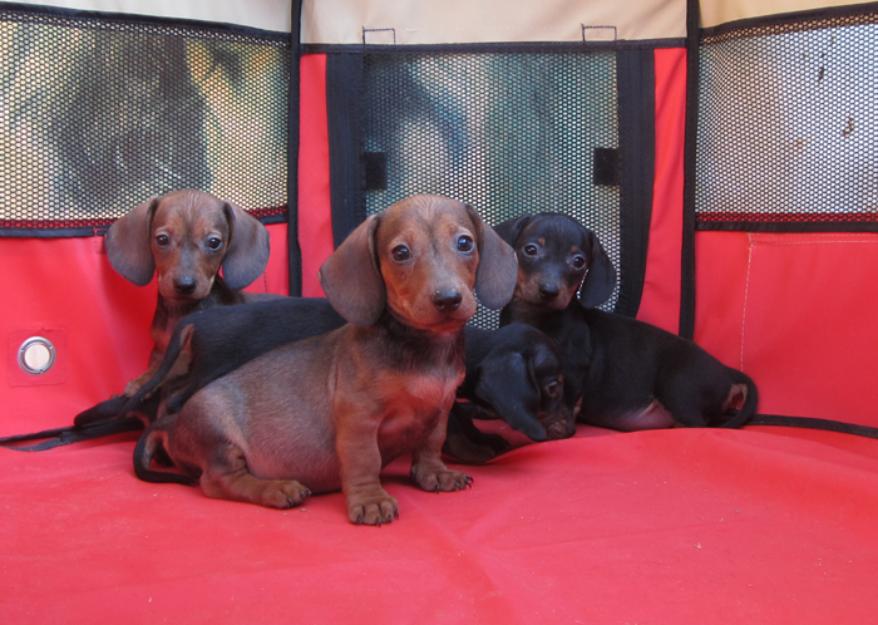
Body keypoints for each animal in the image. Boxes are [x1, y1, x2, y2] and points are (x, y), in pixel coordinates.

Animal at [74, 188, 270, 426]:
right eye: (162, 239)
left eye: (214, 242)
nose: (185, 285)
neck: (181, 311)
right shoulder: (159, 348)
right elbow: (157, 364)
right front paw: (144, 379)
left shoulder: (187, 357)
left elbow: (170, 368)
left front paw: (143, 383)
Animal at [134, 194, 520, 520]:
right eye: (400, 252)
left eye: (465, 243)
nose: (448, 299)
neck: (422, 350)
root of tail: (172, 423)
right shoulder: (359, 418)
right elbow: (365, 460)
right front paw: (370, 500)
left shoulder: (439, 410)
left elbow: (430, 445)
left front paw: (435, 474)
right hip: (218, 438)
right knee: (217, 481)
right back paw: (276, 489)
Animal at [498, 212, 760, 432]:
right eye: (530, 250)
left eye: (578, 261)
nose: (549, 291)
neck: (535, 316)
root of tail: (726, 373)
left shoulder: (572, 368)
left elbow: (563, 400)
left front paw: (558, 426)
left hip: (679, 385)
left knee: (696, 425)